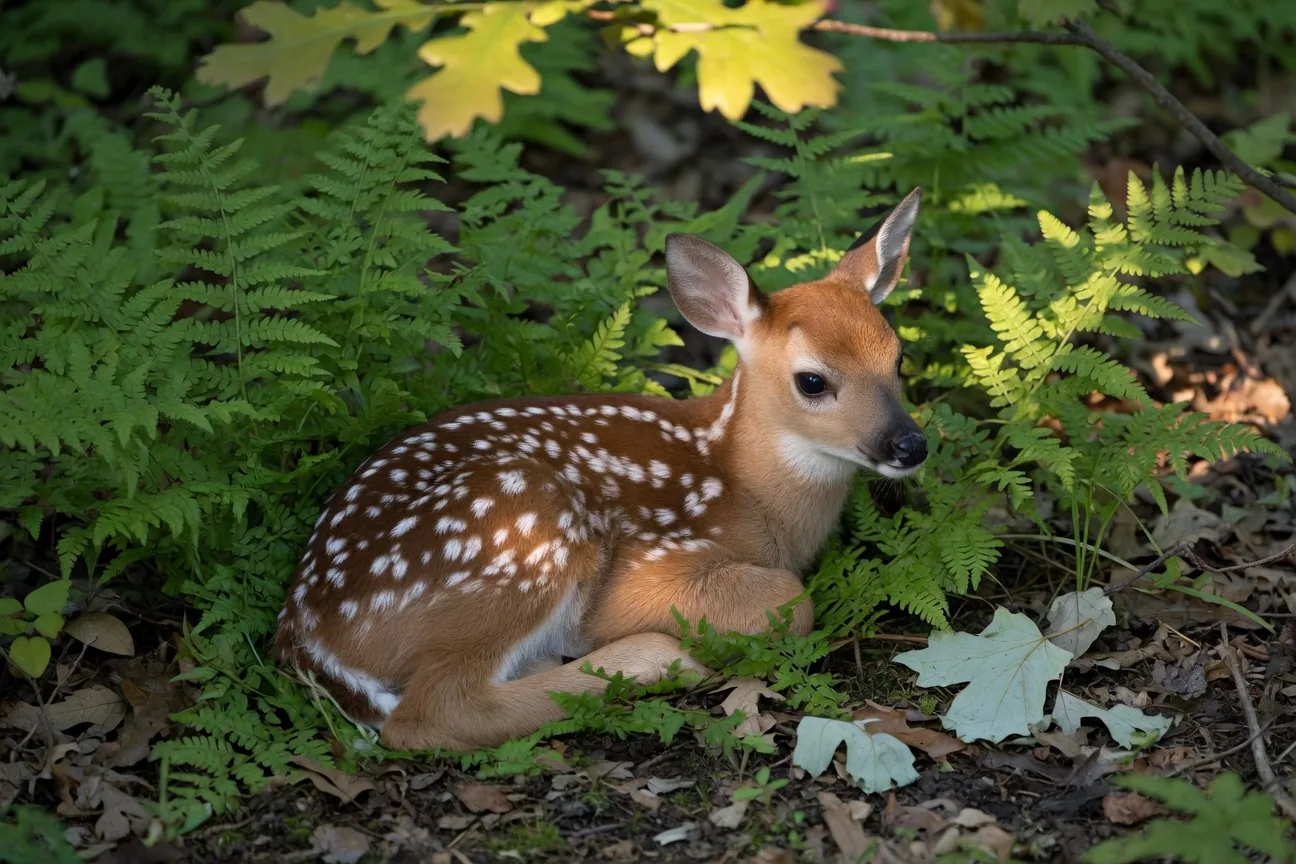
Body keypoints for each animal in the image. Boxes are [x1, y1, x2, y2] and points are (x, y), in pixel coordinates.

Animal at [274, 188, 929, 752]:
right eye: (812, 381)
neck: (748, 490)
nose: (910, 444)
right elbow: (790, 602)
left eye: (898, 358)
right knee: (431, 714)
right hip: (524, 531)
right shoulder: (654, 566)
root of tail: (307, 636)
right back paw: (651, 661)